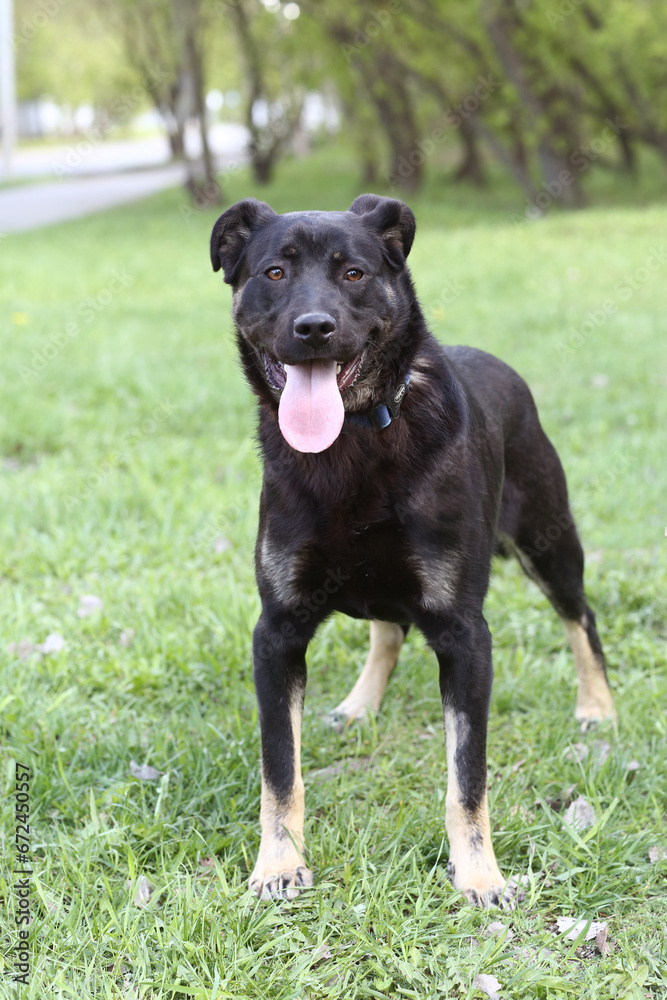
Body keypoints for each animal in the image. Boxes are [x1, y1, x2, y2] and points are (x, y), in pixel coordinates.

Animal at [211, 193, 620, 908]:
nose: (314, 328)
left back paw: (596, 706)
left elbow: (467, 777)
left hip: (548, 542)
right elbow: (280, 770)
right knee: (388, 630)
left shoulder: (464, 634)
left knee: (580, 616)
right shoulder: (277, 630)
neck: (351, 441)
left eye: (353, 273)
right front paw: (279, 866)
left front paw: (481, 875)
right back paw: (360, 702)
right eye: (273, 273)